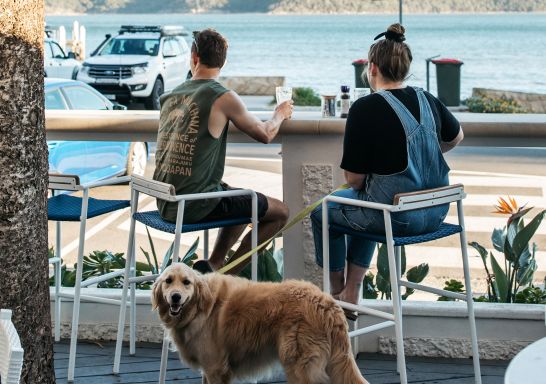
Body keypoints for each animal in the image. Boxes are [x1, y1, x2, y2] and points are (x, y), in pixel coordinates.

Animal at [151, 262, 368, 384]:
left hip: (299, 366)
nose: (175, 297)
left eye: (186, 282)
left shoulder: (215, 368)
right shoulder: (211, 370)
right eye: (168, 281)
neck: (200, 307)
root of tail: (327, 303)